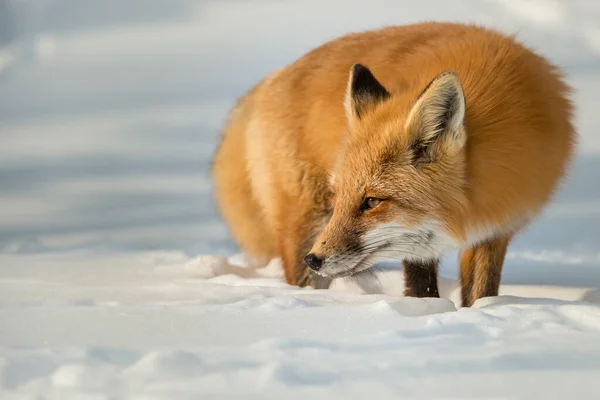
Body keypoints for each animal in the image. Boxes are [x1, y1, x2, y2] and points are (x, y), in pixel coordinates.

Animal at [211, 21, 576, 306]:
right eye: (340, 197)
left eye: (372, 201)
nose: (314, 259)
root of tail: (270, 80)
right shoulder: (418, 244)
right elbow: (421, 290)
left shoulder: (495, 230)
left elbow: (480, 294)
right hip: (306, 224)